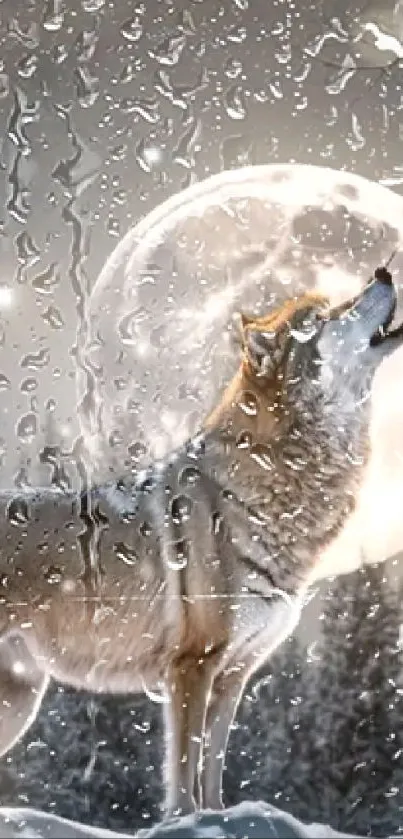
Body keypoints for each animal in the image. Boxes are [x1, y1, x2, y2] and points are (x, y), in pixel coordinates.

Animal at [0, 266, 402, 816]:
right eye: (322, 316)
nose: (383, 272)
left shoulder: (235, 675)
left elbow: (214, 768)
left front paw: (220, 816)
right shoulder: (193, 665)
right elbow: (185, 770)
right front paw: (185, 819)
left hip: (20, 700)